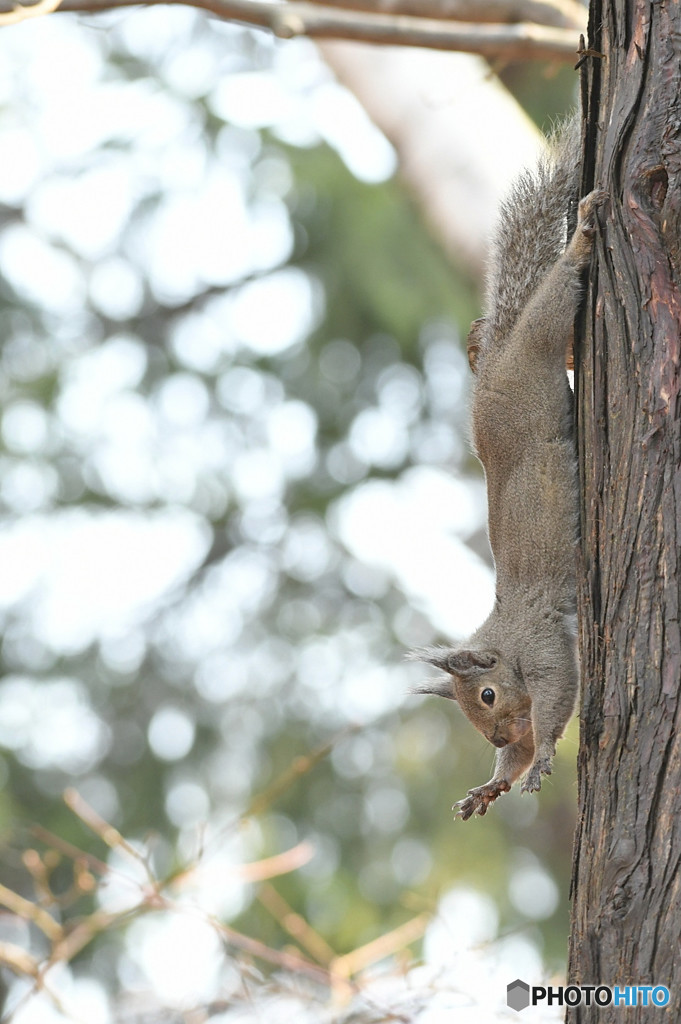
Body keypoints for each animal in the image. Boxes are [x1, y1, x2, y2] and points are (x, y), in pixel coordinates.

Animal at [409, 121, 606, 823]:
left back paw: (581, 239)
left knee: (555, 300)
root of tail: (493, 361)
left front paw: (540, 754)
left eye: (487, 695)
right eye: (472, 715)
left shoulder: (544, 647)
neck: (503, 630)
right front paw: (494, 780)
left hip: (535, 348)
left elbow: (557, 700)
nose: (496, 739)